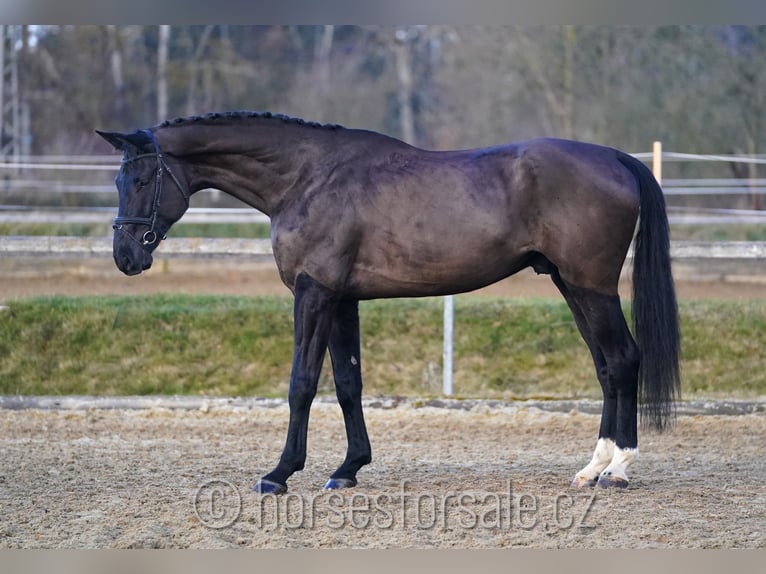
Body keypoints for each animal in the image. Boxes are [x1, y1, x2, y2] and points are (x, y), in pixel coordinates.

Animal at [97, 113, 684, 496]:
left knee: (623, 360)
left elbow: (302, 383)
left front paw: (279, 473)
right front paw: (348, 468)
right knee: (606, 367)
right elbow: (348, 383)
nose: (126, 255)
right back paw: (593, 466)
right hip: (571, 285)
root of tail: (615, 157)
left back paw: (618, 470)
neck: (306, 178)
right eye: (120, 177)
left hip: (591, 286)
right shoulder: (342, 300)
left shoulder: (314, 294)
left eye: (142, 177)